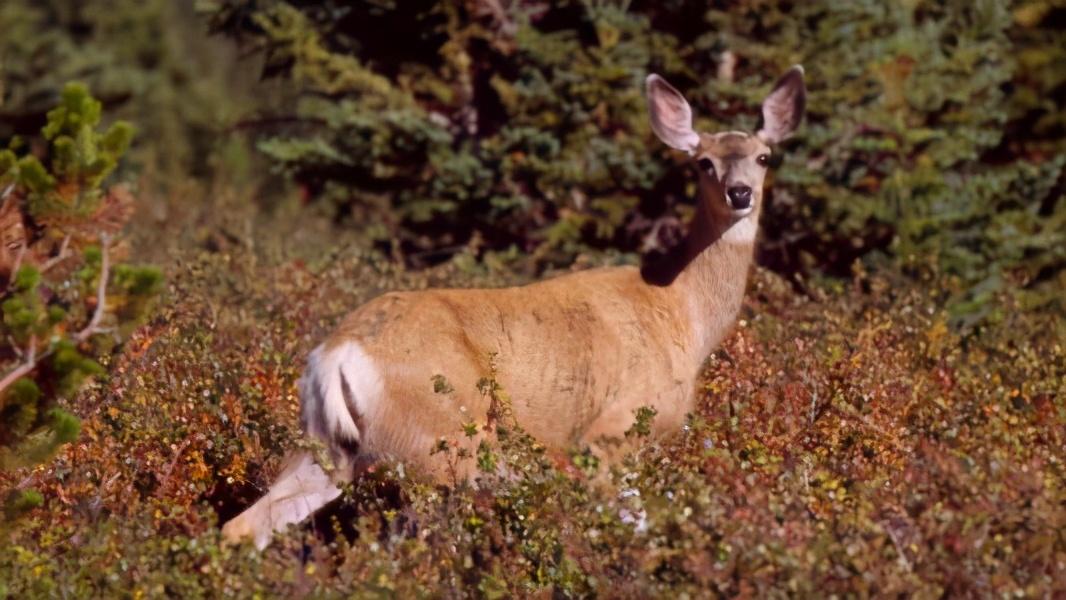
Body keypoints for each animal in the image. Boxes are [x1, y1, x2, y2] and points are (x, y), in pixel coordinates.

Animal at [224, 64, 805, 549]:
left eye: (763, 157)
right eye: (703, 162)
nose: (739, 193)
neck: (678, 309)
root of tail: (337, 353)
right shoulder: (611, 433)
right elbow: (632, 525)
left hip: (324, 446)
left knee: (244, 525)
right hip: (437, 446)